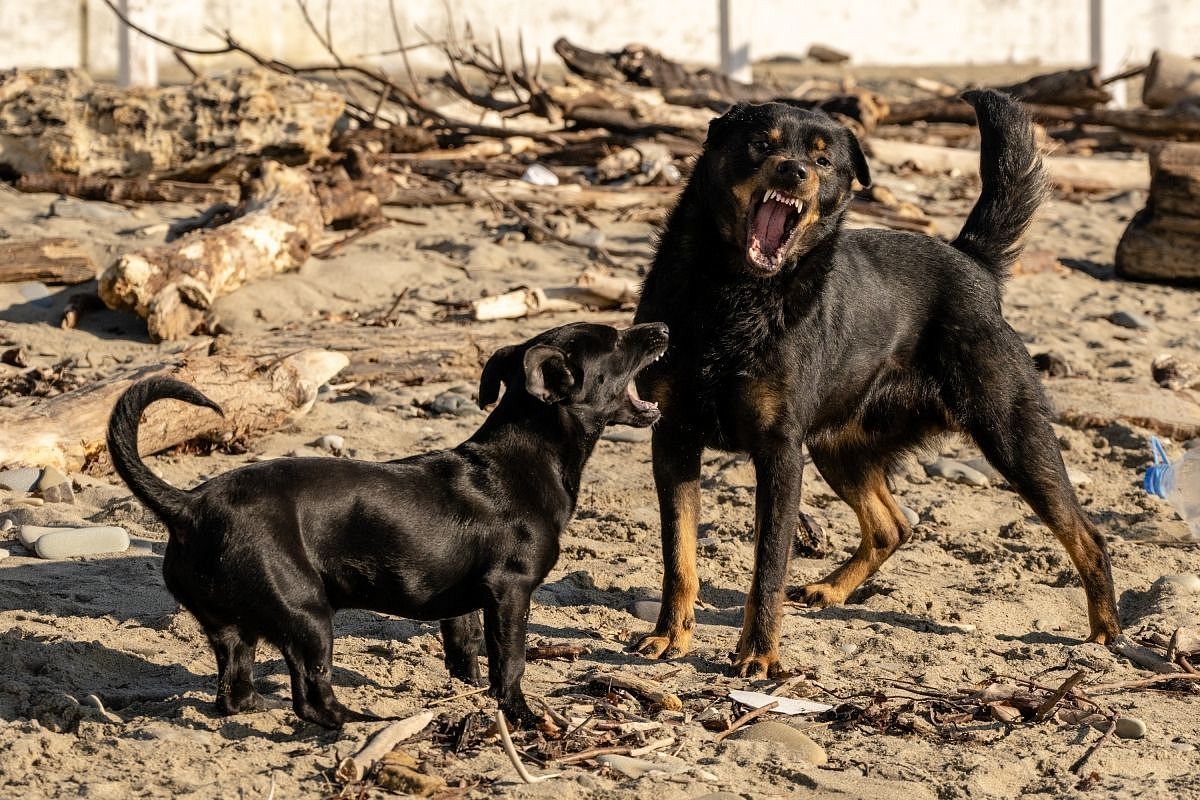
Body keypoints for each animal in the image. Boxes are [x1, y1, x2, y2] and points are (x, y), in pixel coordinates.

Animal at [108, 321, 672, 729]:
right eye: (616, 341)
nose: (663, 326)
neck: (526, 459)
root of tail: (189, 506)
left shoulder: (463, 604)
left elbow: (464, 652)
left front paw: (467, 693)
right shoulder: (510, 592)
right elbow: (510, 663)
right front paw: (522, 717)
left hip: (232, 628)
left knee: (234, 695)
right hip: (307, 614)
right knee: (310, 697)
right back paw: (359, 722)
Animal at [633, 90, 1118, 681]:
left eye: (822, 160)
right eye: (761, 144)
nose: (793, 171)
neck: (735, 292)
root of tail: (972, 262)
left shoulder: (780, 453)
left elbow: (767, 566)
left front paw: (759, 653)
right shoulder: (674, 438)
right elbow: (678, 556)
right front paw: (669, 635)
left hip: (1013, 434)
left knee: (1087, 534)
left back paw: (1105, 634)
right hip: (839, 445)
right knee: (893, 527)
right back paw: (829, 589)